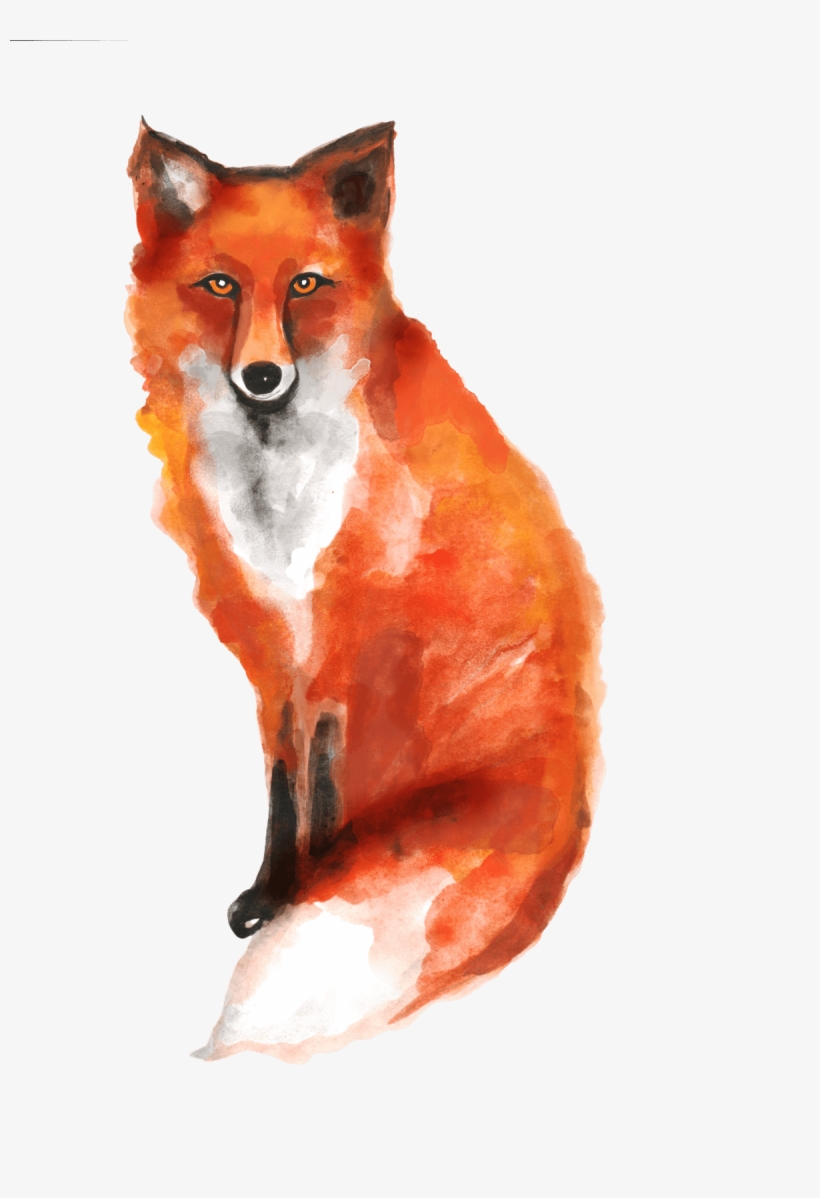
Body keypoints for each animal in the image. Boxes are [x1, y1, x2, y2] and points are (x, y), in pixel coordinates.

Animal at [126, 120, 603, 1062]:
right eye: (221, 286)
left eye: (306, 285)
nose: (262, 377)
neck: (278, 500)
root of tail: (572, 801)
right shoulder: (275, 649)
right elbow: (283, 787)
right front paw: (267, 893)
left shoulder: (340, 643)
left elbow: (320, 790)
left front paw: (300, 895)